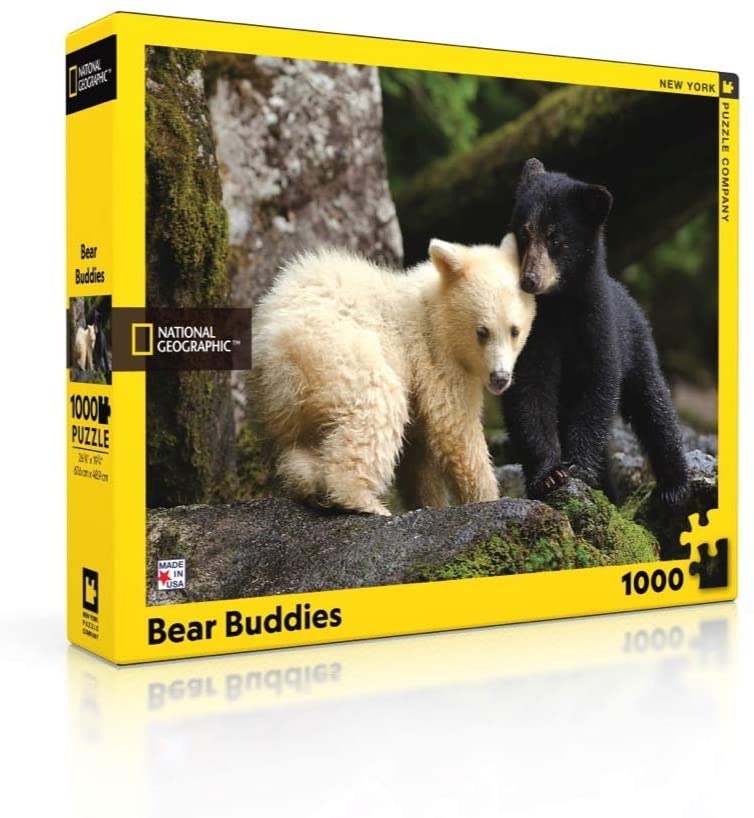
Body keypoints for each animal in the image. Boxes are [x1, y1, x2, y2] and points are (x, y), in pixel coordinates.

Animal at [251, 235, 536, 515]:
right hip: (339, 353)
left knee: (299, 442)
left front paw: (429, 502)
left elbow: (419, 456)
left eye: (514, 330)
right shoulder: (436, 357)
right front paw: (487, 498)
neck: (435, 310)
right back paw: (362, 501)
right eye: (482, 331)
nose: (500, 378)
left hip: (285, 399)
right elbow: (455, 428)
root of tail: (276, 346)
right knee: (377, 406)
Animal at [502, 158, 689, 507]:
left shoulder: (598, 325)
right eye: (523, 232)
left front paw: (579, 469)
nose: (529, 280)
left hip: (639, 344)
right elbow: (529, 392)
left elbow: (597, 388)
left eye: (556, 238)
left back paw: (674, 485)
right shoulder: (530, 336)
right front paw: (549, 476)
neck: (558, 306)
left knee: (653, 404)